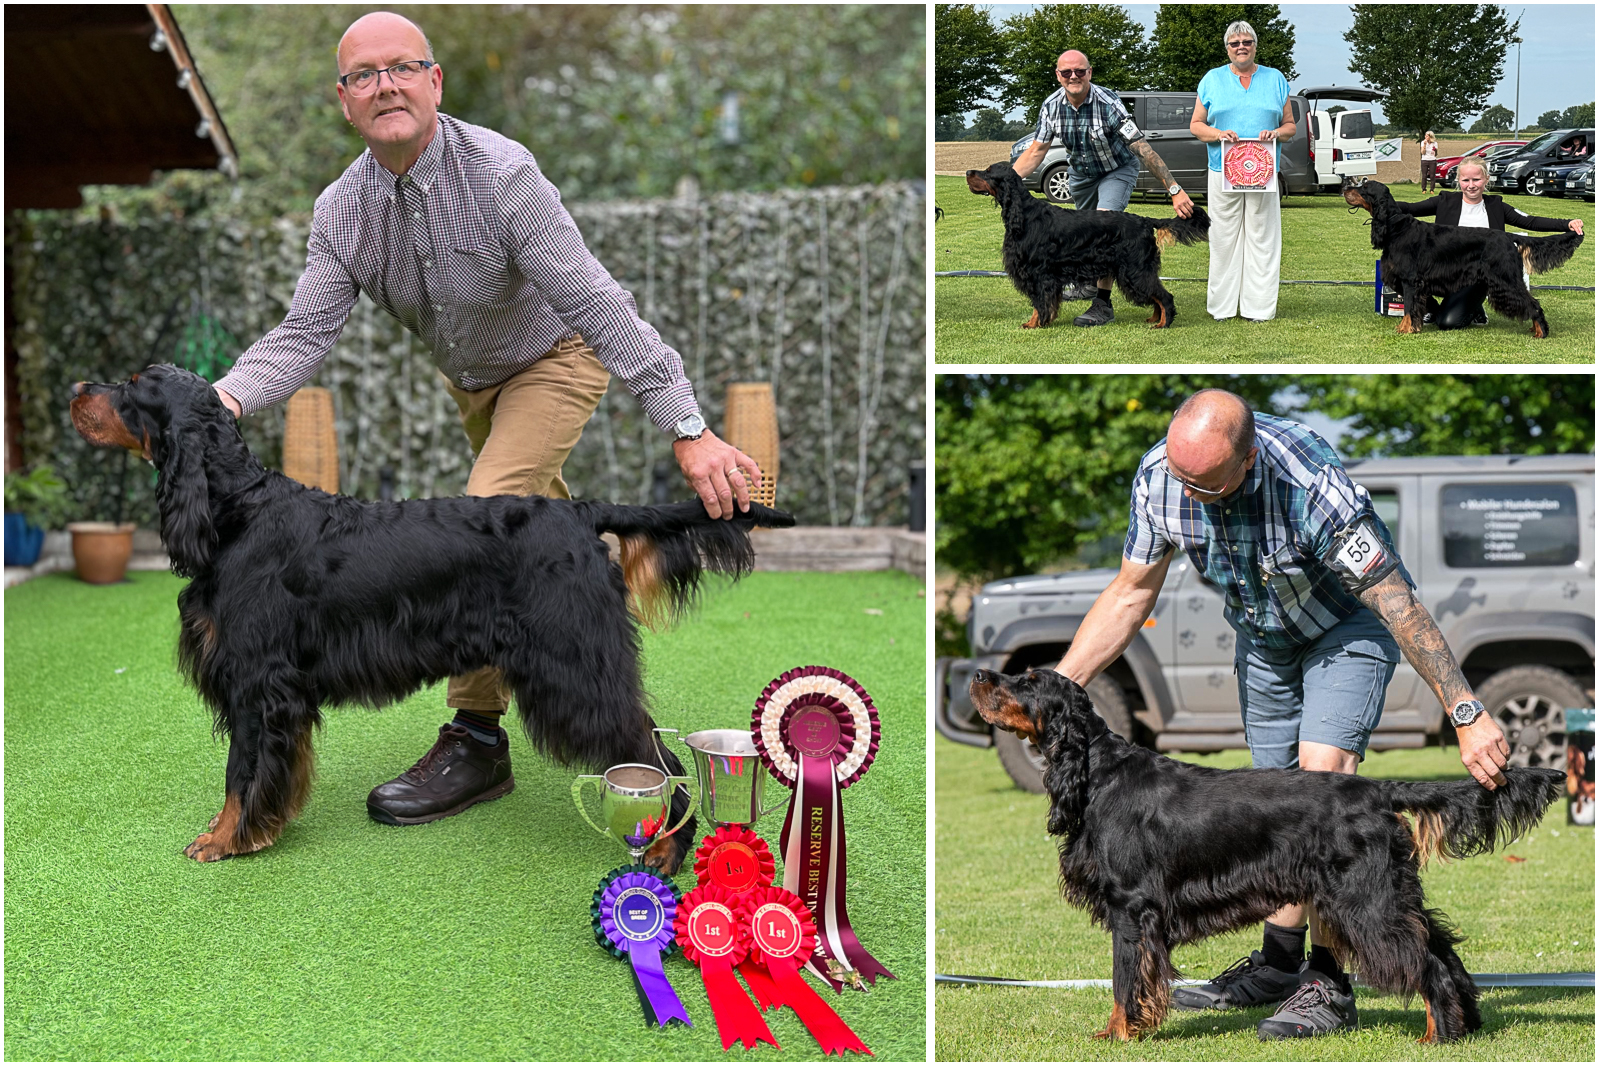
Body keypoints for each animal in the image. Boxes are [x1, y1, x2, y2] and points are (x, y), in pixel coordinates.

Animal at [68, 363, 793, 870]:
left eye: (131, 387)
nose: (75, 388)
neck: (236, 509)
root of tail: (580, 513)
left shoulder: (258, 681)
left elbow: (239, 774)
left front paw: (224, 840)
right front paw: (263, 827)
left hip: (574, 667)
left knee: (656, 756)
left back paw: (665, 849)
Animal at [960, 159, 1209, 329]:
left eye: (988, 172)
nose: (967, 172)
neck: (1024, 215)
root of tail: (1145, 220)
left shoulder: (1039, 272)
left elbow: (1040, 302)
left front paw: (1035, 324)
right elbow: (1043, 302)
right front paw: (1040, 321)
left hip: (1135, 270)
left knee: (1164, 296)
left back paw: (1163, 323)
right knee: (1156, 294)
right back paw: (1154, 318)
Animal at [966, 668, 1568, 1043]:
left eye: (1028, 681)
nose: (976, 675)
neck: (1097, 771)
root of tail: (1375, 790)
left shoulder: (1131, 907)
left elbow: (1123, 978)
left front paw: (1118, 1034)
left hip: (1365, 901)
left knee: (1426, 963)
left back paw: (1438, 1034)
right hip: (1390, 892)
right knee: (1442, 950)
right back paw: (1464, 1024)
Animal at [1337, 177, 1587, 337]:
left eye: (1364, 187)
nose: (1343, 187)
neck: (1394, 226)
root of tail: (1508, 236)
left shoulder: (1409, 280)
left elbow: (1408, 307)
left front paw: (1405, 329)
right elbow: (1416, 306)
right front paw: (1414, 327)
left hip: (1506, 279)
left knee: (1532, 303)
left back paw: (1540, 331)